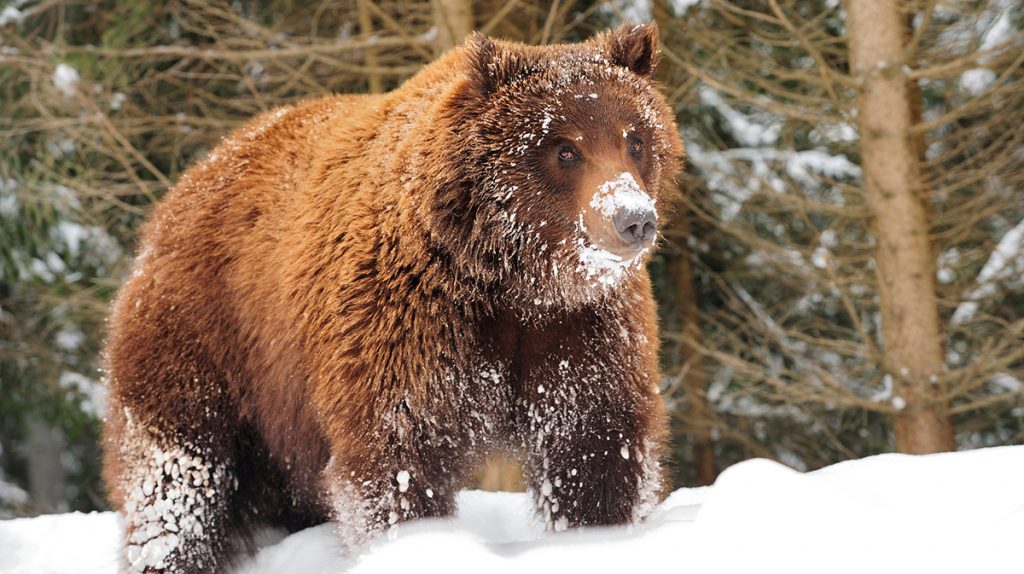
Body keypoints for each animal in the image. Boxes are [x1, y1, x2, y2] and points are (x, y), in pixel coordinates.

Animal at [101, 22, 683, 573]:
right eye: (564, 148)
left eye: (635, 139)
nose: (632, 219)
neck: (515, 281)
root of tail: (188, 182)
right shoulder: (407, 327)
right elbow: (397, 458)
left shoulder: (578, 335)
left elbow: (597, 449)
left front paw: (597, 537)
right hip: (205, 341)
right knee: (178, 477)